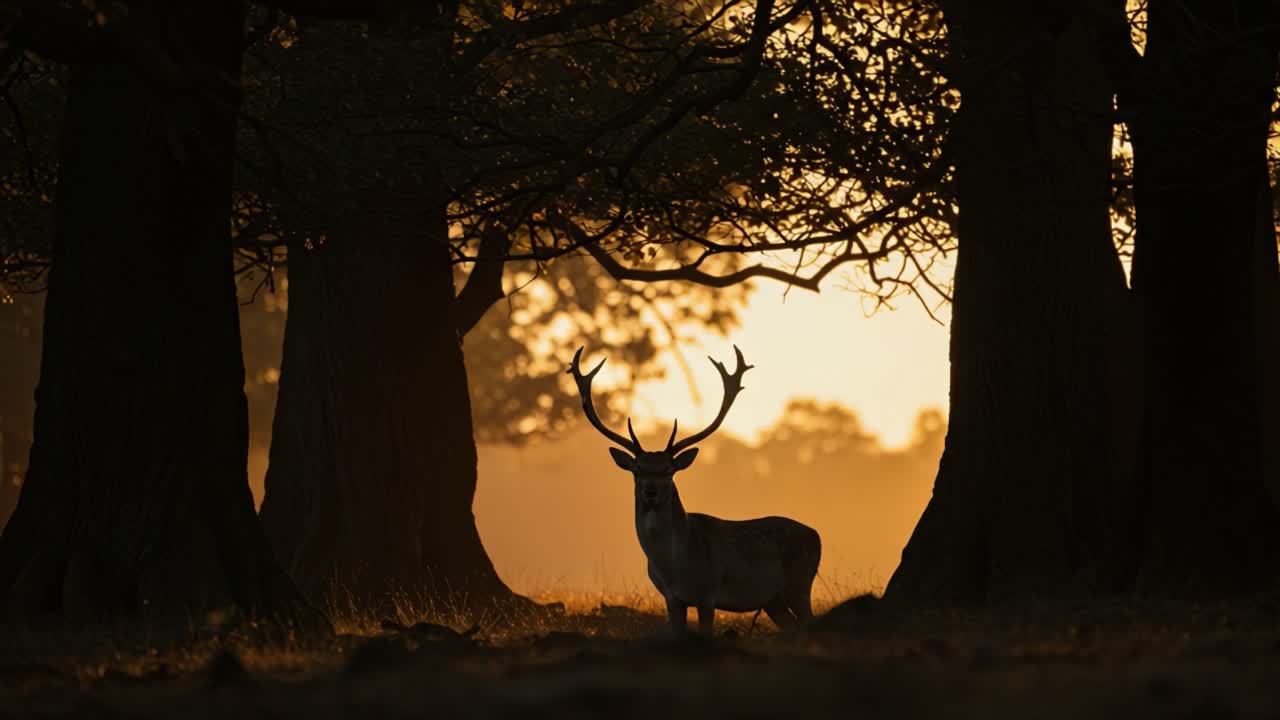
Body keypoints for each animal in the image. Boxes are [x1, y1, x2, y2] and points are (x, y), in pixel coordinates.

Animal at [567, 345, 821, 637]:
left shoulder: (707, 594)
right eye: (637, 469)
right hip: (773, 600)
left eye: (668, 469)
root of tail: (817, 536)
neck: (673, 567)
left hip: (800, 584)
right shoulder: (671, 598)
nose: (651, 491)